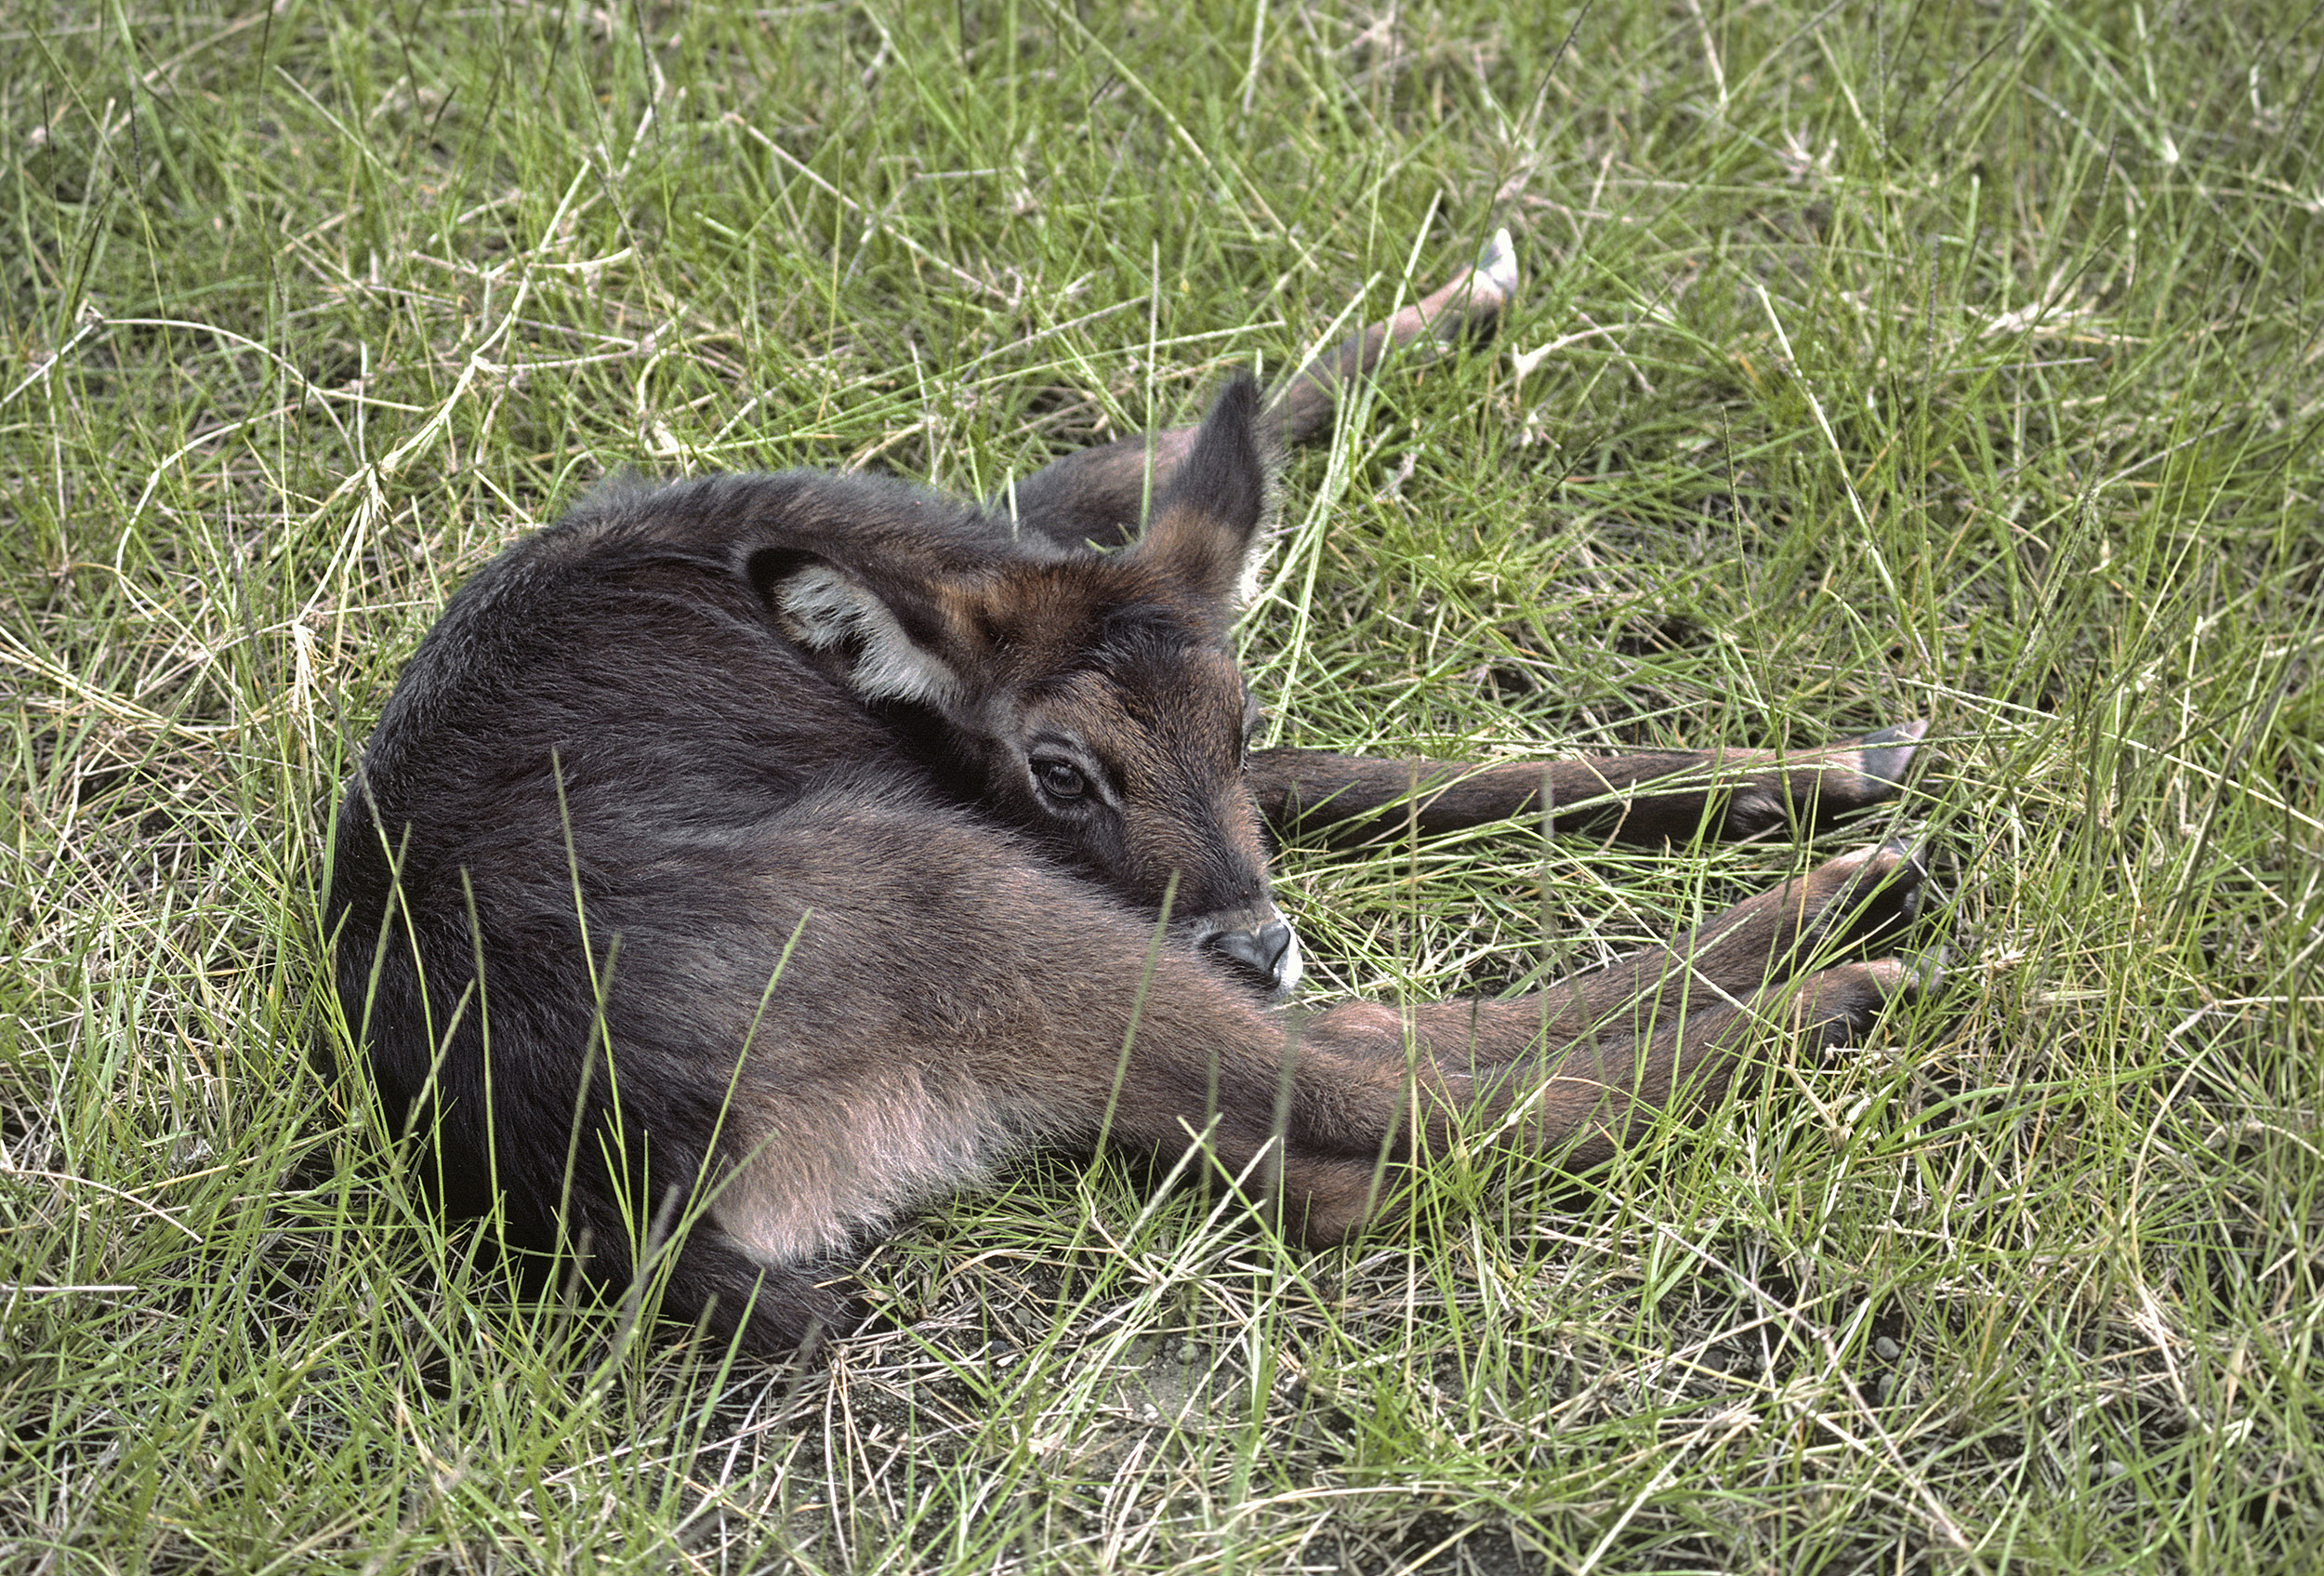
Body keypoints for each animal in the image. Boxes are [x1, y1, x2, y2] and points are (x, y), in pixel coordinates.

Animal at [327, 234, 1924, 1357]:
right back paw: (1849, 960)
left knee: (1329, 1113)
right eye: (1060, 764)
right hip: (947, 893)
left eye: (1238, 705)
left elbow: (1167, 467)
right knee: (1402, 1103)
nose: (1258, 936)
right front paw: (1838, 779)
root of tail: (605, 1199)